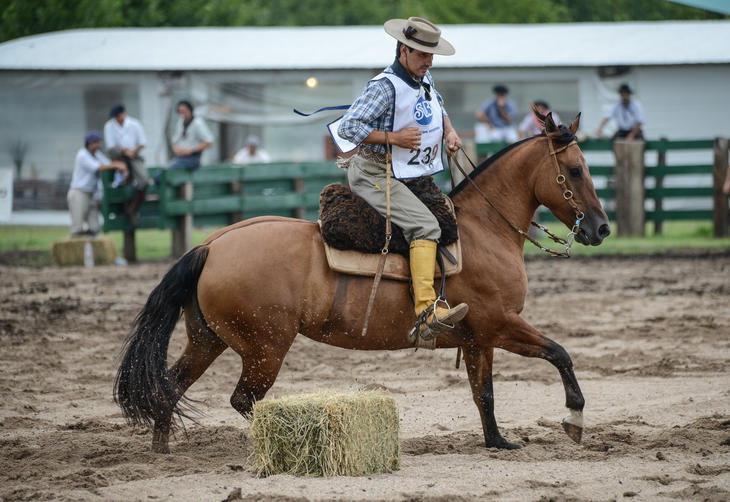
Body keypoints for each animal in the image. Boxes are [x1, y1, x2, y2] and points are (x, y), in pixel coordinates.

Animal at [114, 114, 608, 454]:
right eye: (576, 170)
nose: (600, 228)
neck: (483, 230)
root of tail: (212, 245)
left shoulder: (478, 338)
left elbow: (483, 393)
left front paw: (497, 442)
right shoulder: (501, 324)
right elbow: (560, 354)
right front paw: (574, 418)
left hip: (208, 339)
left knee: (170, 386)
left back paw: (161, 449)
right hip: (264, 348)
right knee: (243, 400)